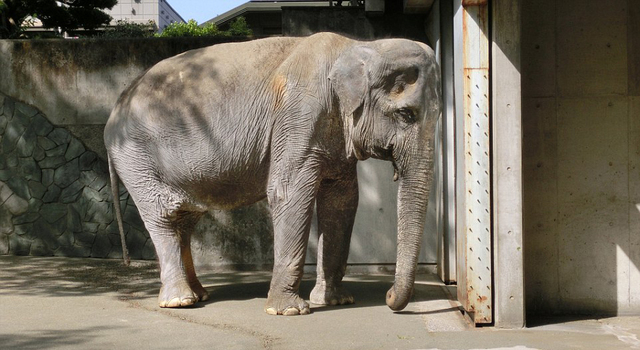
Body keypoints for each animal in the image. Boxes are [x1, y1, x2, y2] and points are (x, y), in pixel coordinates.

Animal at [105, 32, 442, 316]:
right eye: (405, 114)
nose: (388, 297)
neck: (358, 46)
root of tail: (117, 104)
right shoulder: (298, 115)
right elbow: (289, 194)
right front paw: (289, 311)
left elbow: (342, 202)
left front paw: (335, 301)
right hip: (136, 158)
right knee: (163, 215)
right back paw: (180, 301)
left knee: (185, 220)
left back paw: (199, 295)